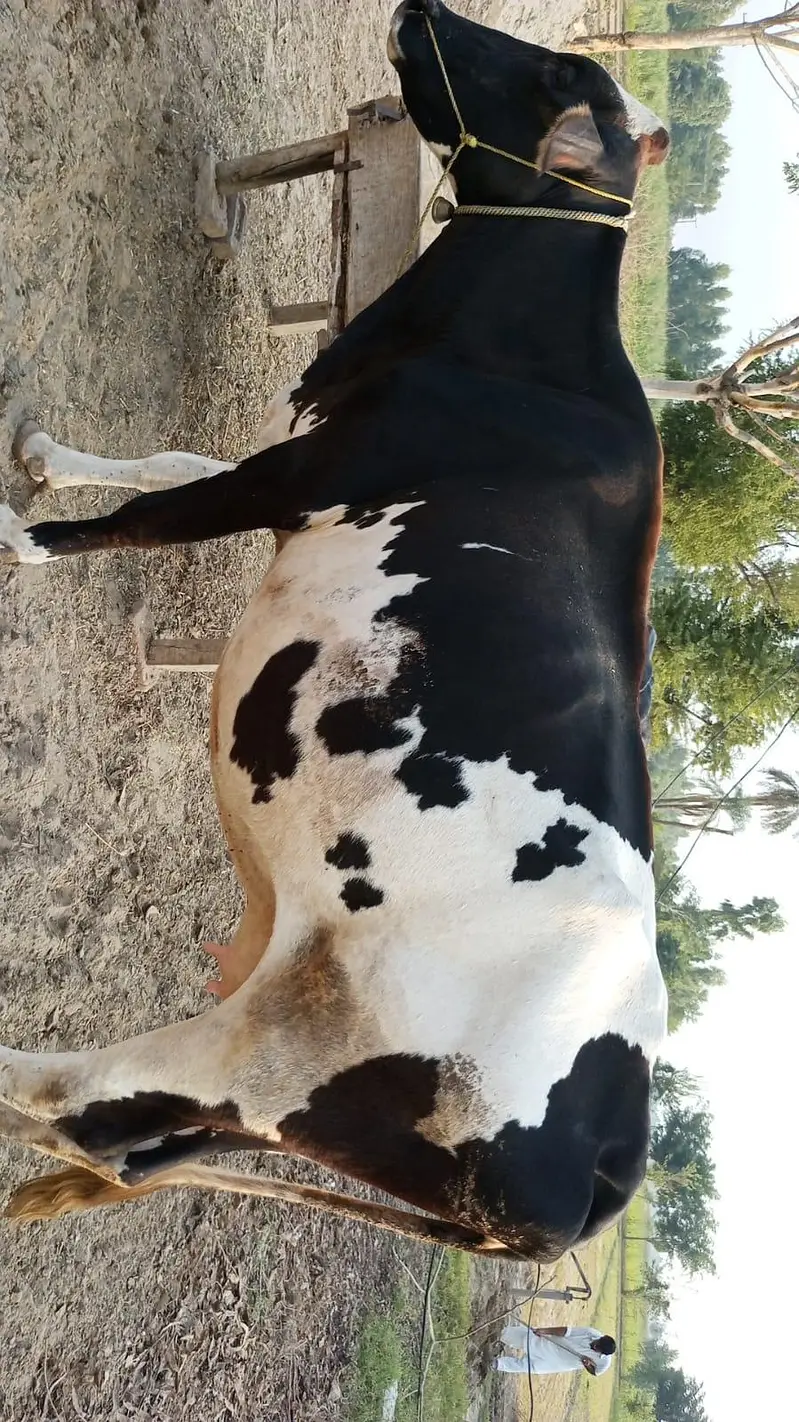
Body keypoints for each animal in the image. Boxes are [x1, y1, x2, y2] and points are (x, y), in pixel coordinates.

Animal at [0, 0, 669, 1260]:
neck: (511, 355)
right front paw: (47, 456)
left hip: (274, 1057)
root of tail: (613, 1153)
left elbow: (139, 521)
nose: (424, 7)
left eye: (554, 69)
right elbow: (168, 468)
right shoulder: (300, 469)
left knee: (76, 1095)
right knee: (113, 1138)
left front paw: (16, 534)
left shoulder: (308, 471)